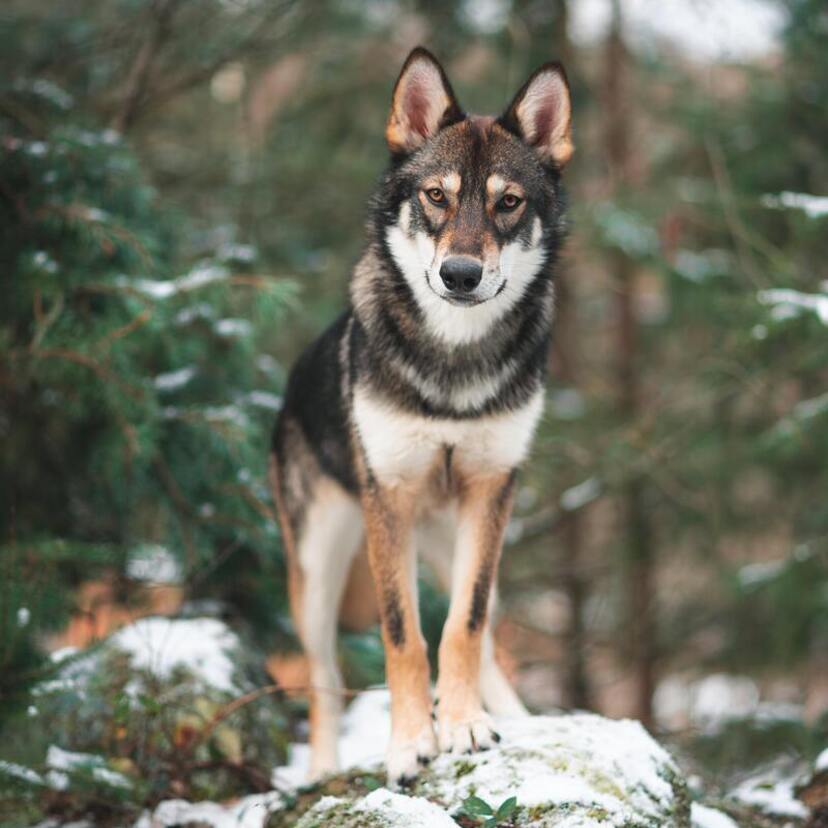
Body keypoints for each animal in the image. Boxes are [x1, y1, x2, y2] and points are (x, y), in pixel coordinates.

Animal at [268, 45, 572, 784]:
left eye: (508, 203)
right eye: (437, 196)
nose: (461, 274)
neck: (452, 366)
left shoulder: (492, 491)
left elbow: (462, 626)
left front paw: (463, 727)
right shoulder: (392, 499)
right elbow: (402, 635)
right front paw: (410, 744)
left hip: (462, 538)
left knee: (484, 635)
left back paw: (514, 719)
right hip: (318, 571)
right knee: (323, 680)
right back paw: (320, 771)